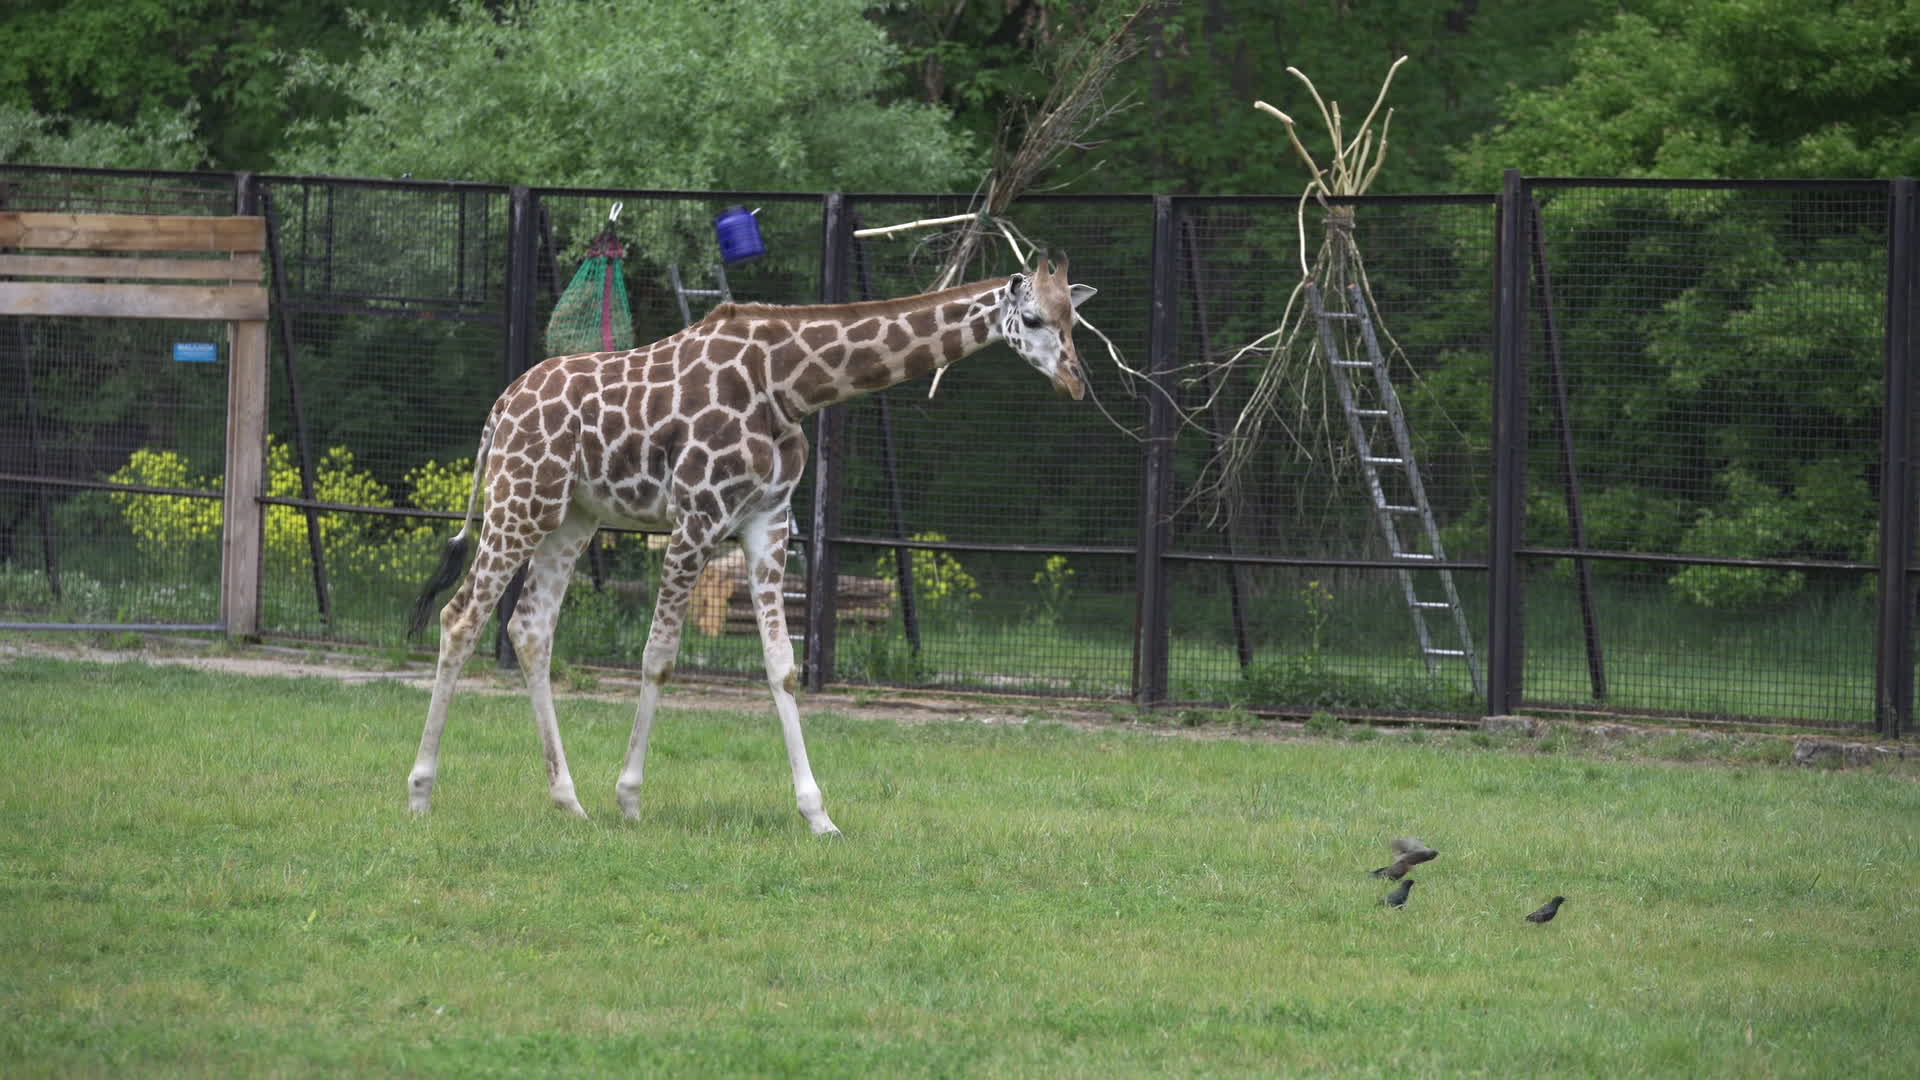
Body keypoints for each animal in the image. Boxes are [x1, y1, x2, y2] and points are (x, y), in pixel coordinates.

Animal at [405, 255, 1097, 833]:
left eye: (1076, 320)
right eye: (1033, 318)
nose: (1075, 382)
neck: (789, 384)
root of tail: (498, 412)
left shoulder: (768, 522)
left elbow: (783, 666)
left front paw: (818, 815)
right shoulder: (696, 517)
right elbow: (659, 657)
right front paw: (630, 798)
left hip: (571, 517)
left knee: (529, 628)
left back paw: (568, 801)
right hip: (520, 503)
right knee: (461, 616)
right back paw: (420, 793)